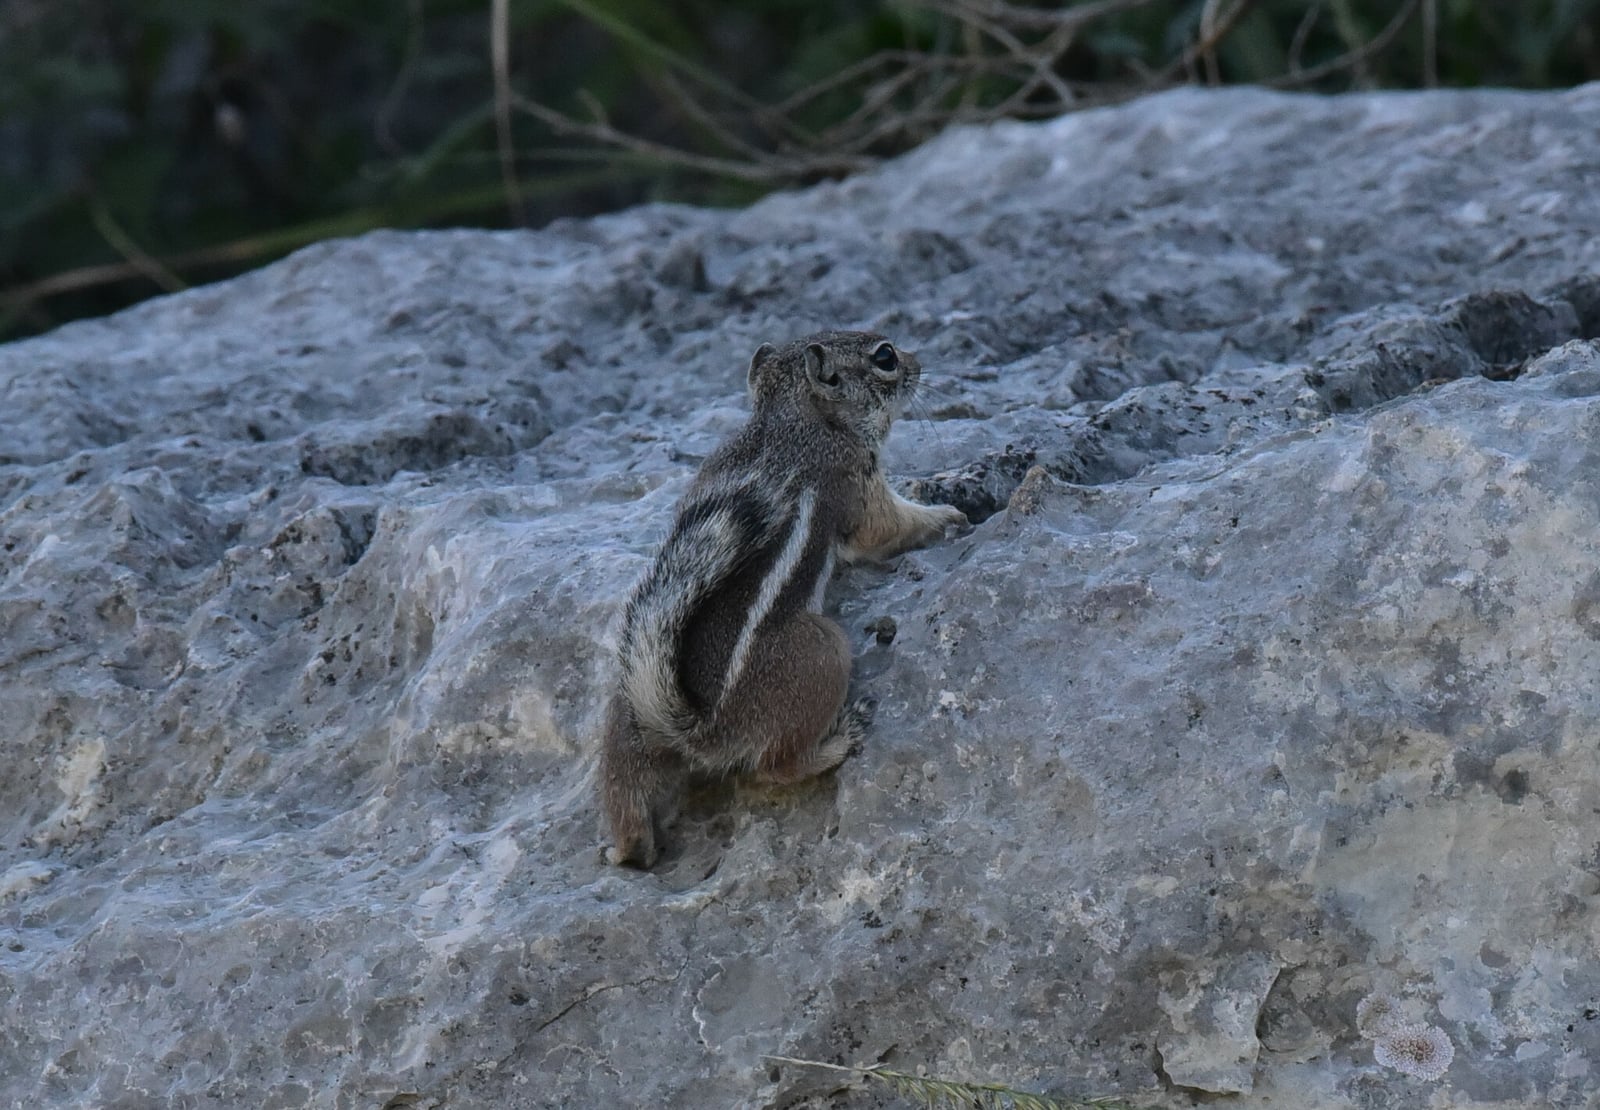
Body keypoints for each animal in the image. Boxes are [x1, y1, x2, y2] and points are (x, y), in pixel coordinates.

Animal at [598, 330, 967, 867]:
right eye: (885, 357)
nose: (921, 365)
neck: (789, 415)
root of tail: (702, 730)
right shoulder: (855, 483)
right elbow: (889, 527)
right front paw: (949, 514)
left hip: (624, 719)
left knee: (628, 811)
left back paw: (624, 849)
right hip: (821, 652)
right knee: (775, 768)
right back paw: (842, 738)